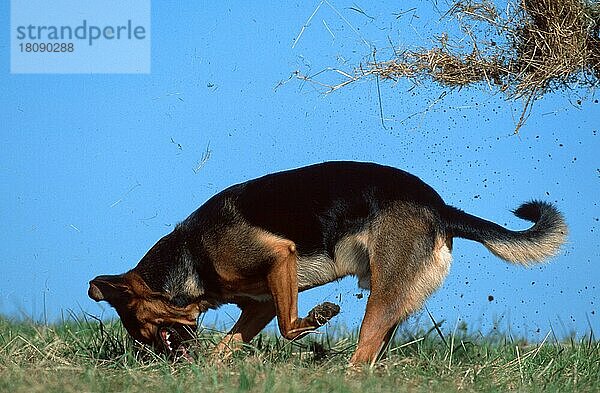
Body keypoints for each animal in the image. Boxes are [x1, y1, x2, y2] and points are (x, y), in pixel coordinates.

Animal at [89, 161, 568, 362]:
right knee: (372, 356)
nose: (162, 365)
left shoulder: (279, 259)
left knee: (362, 355)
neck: (192, 256)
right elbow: (230, 343)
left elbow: (289, 327)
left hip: (380, 300)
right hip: (395, 301)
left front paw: (317, 318)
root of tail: (440, 209)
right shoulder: (262, 302)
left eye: (140, 327)